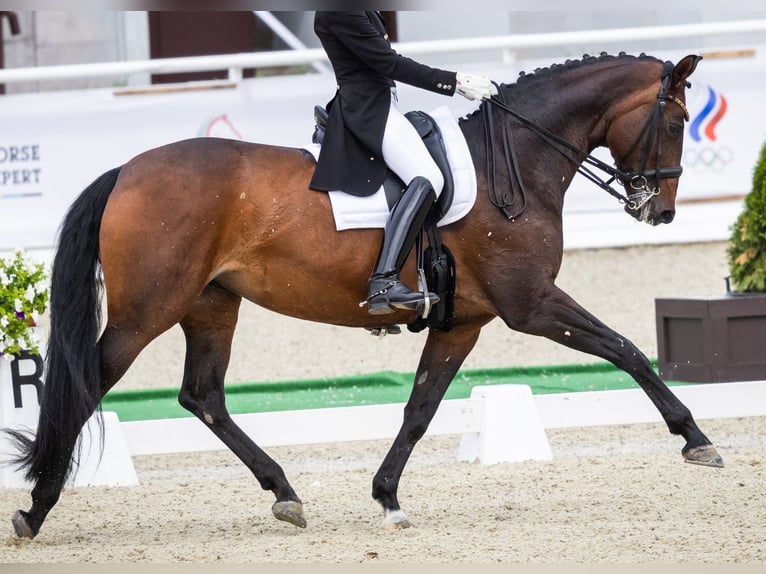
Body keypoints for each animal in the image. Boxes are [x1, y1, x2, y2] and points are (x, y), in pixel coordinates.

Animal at [7, 50, 728, 540]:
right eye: (676, 120)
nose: (660, 211)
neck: (516, 162)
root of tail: (128, 170)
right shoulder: (530, 304)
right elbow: (626, 348)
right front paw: (695, 437)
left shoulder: (462, 321)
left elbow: (419, 409)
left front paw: (387, 496)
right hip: (146, 312)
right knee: (85, 387)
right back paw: (36, 508)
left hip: (211, 304)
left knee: (202, 396)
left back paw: (284, 492)